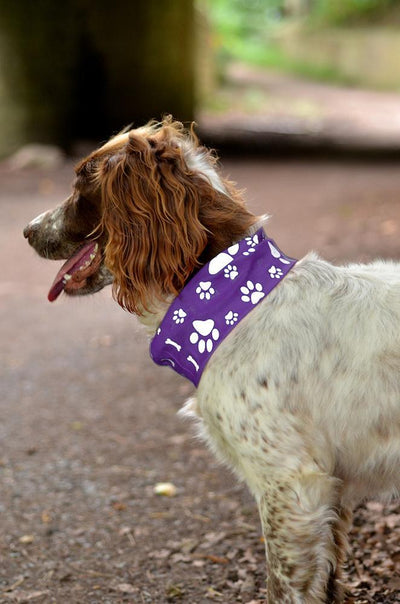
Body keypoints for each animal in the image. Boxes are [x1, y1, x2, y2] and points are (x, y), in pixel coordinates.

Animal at [22, 118, 400, 604]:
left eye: (82, 180)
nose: (27, 230)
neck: (232, 301)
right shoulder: (329, 490)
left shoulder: (292, 484)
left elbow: (284, 585)